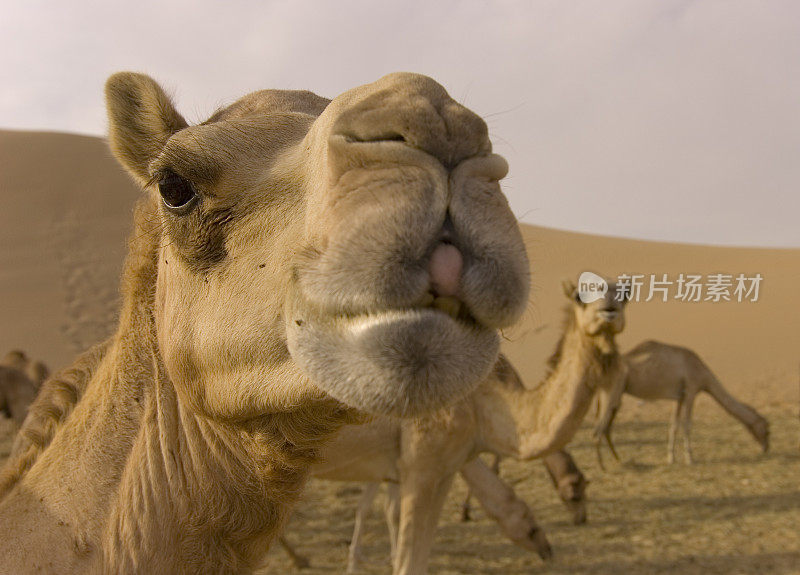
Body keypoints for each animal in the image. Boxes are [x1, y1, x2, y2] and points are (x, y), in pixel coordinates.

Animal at [296, 284, 628, 575]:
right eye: (581, 296)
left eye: (624, 294)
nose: (609, 311)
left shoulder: (443, 469)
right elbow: (406, 560)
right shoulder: (419, 466)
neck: (481, 402)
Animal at [592, 340, 768, 466]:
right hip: (613, 393)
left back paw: (618, 460)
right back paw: (602, 466)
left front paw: (671, 458)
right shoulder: (691, 391)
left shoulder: (679, 397)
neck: (704, 376)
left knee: (605, 428)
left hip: (612, 396)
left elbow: (674, 425)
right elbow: (687, 425)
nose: (766, 448)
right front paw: (690, 459)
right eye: (767, 429)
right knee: (599, 429)